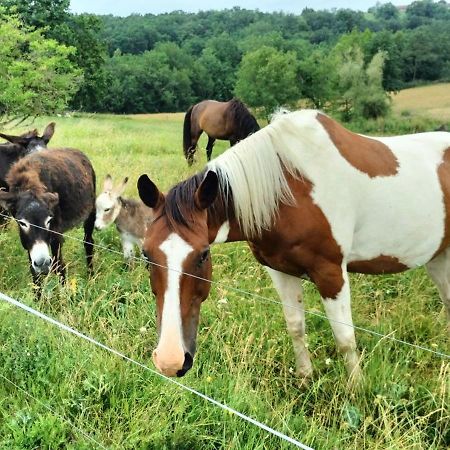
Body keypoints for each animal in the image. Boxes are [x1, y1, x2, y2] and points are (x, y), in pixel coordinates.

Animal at [0, 148, 96, 288]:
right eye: (22, 223)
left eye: (49, 221)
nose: (43, 263)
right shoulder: (28, 243)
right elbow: (34, 273)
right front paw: (37, 294)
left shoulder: (55, 234)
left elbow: (59, 266)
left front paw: (64, 294)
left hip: (91, 211)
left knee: (88, 242)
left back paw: (91, 277)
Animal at [136, 109, 450, 380]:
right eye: (146, 255)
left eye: (202, 256)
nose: (170, 360)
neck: (288, 189)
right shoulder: (280, 270)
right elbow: (295, 326)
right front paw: (305, 378)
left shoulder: (331, 273)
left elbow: (345, 338)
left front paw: (356, 388)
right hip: (439, 258)